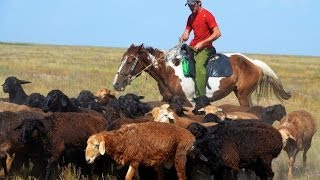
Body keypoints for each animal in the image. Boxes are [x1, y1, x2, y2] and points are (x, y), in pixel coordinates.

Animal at [114, 44, 292, 107]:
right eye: (122, 59)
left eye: (130, 61)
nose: (116, 84)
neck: (169, 70)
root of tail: (253, 63)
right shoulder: (167, 100)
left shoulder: (189, 102)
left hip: (243, 95)